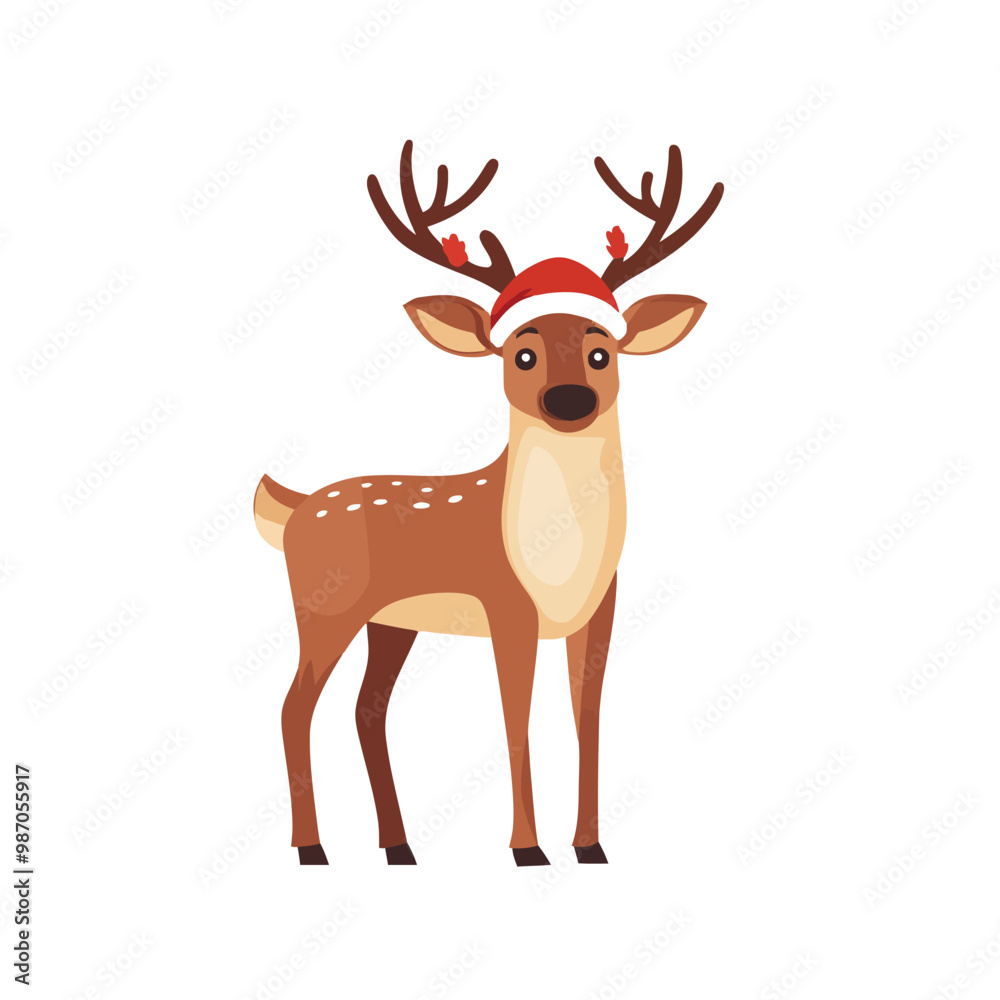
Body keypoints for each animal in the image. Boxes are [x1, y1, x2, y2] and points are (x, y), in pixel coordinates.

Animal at [253, 140, 723, 867]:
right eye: (521, 353)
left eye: (602, 352)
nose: (569, 399)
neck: (559, 558)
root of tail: (295, 508)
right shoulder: (505, 605)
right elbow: (515, 717)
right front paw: (527, 849)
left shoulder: (600, 609)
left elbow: (586, 717)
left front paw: (590, 846)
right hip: (324, 605)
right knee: (292, 706)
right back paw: (312, 849)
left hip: (393, 621)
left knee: (366, 708)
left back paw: (399, 847)